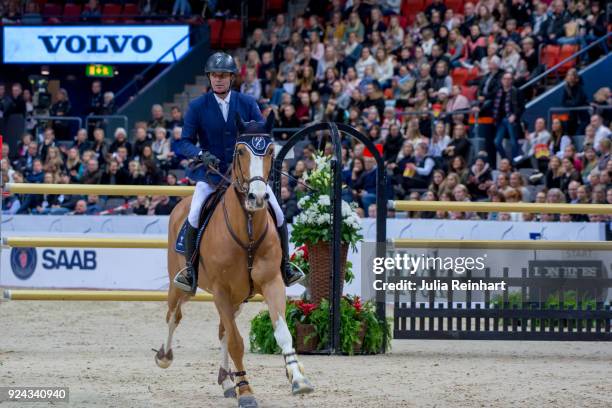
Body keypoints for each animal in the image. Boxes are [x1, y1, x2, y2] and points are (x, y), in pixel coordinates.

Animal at [153, 115, 316, 408]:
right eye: (240, 151)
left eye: (271, 151)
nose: (258, 197)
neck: (247, 230)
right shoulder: (221, 291)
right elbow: (237, 343)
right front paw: (247, 391)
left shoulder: (272, 283)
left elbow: (281, 333)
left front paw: (298, 379)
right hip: (183, 288)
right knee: (174, 315)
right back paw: (165, 357)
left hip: (239, 298)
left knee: (222, 332)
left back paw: (227, 382)